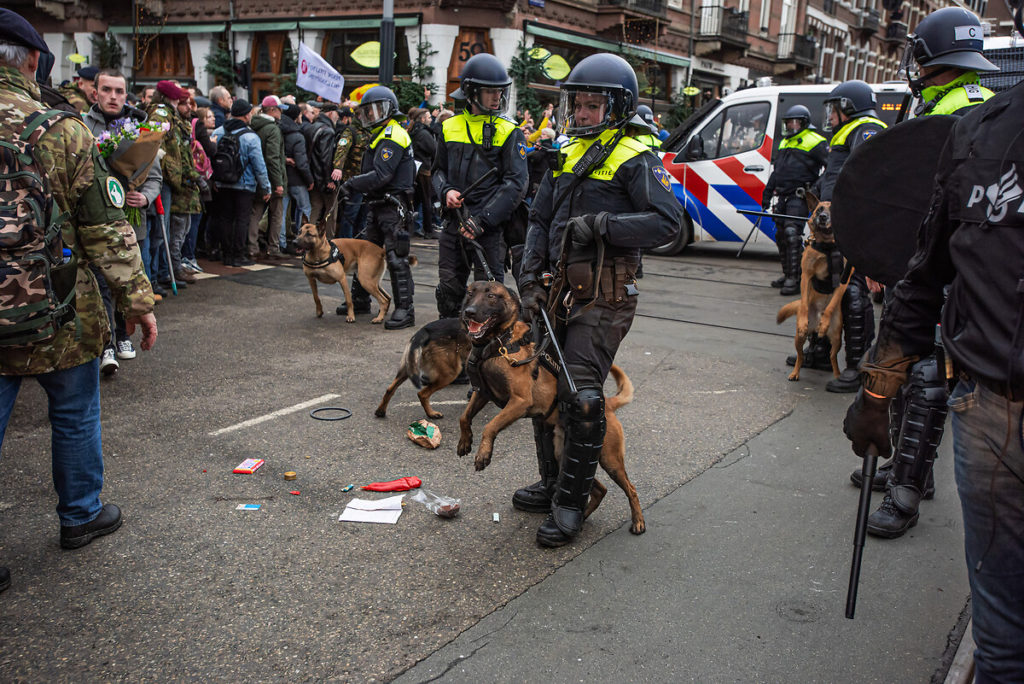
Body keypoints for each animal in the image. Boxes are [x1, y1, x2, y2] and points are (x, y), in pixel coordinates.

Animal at [454, 280, 638, 536]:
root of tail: (607, 405)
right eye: (470, 293)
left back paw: (638, 521)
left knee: (631, 488)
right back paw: (577, 518)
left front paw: (483, 454)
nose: (468, 312)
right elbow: (464, 417)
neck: (499, 341)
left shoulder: (519, 401)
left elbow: (490, 425)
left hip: (609, 458)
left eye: (491, 296)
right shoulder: (482, 393)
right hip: (563, 454)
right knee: (597, 487)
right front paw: (465, 441)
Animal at [774, 192, 847, 382]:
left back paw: (838, 375)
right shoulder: (806, 276)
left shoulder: (843, 280)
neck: (828, 246)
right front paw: (802, 320)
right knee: (800, 356)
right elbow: (805, 303)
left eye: (832, 210)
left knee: (832, 357)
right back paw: (795, 372)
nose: (822, 217)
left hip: (836, 338)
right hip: (799, 339)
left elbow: (831, 306)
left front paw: (825, 321)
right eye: (819, 209)